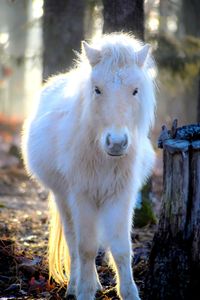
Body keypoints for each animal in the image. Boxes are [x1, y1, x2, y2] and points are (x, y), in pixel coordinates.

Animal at [22, 32, 156, 300]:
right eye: (97, 90)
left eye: (135, 91)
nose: (116, 142)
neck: (102, 156)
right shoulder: (82, 197)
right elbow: (85, 248)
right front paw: (84, 291)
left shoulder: (120, 197)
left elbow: (121, 249)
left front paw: (129, 292)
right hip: (63, 197)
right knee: (73, 242)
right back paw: (75, 286)